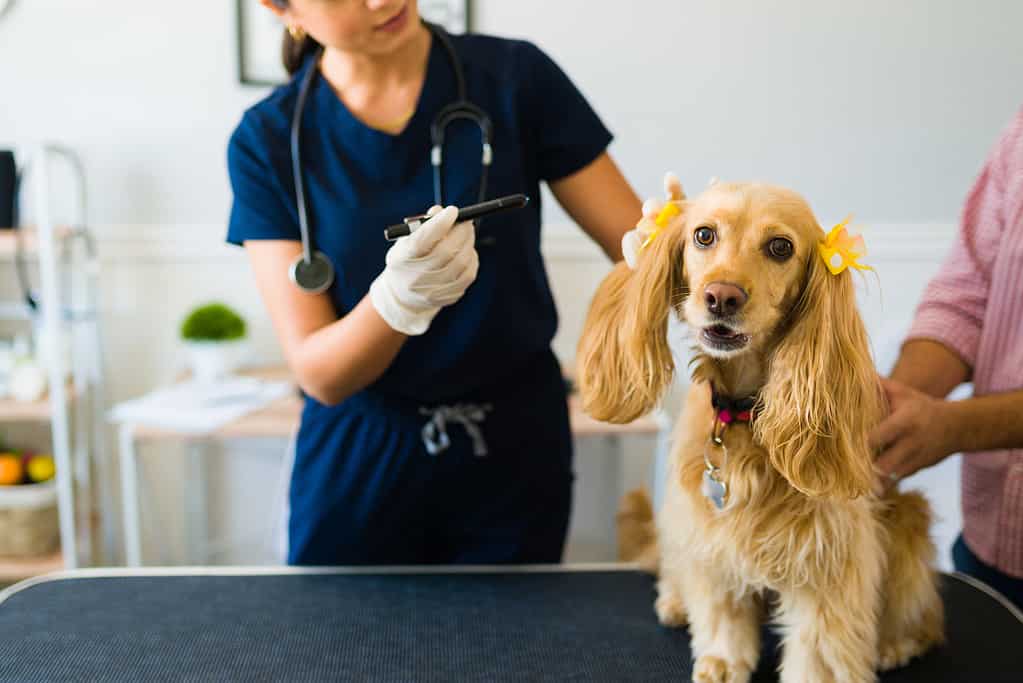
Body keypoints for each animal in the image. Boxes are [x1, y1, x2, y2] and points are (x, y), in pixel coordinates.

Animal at [581, 178, 945, 678]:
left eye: (780, 247)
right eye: (704, 235)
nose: (721, 296)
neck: (742, 414)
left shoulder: (828, 556)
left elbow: (819, 647)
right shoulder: (710, 530)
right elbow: (722, 608)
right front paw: (722, 658)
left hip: (908, 523)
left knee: (924, 614)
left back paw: (896, 643)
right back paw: (675, 600)